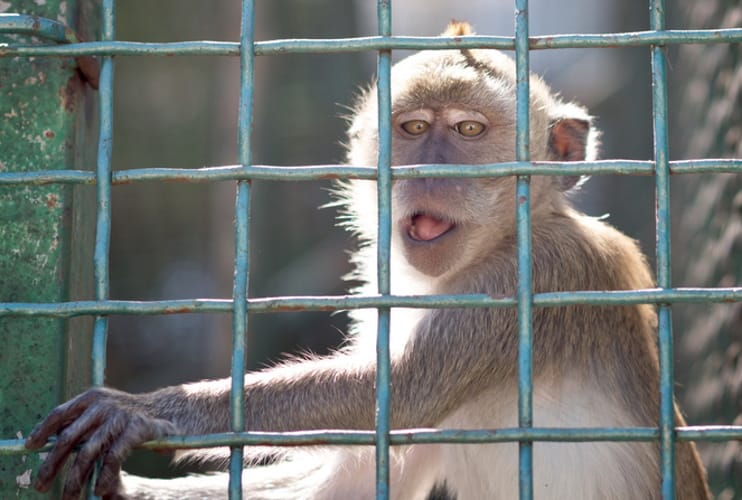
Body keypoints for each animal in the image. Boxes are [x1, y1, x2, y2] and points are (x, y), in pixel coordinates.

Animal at [25, 21, 710, 500]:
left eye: (467, 131)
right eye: (412, 129)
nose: (428, 169)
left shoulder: (535, 274)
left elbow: (402, 390)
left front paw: (149, 411)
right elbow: (352, 479)